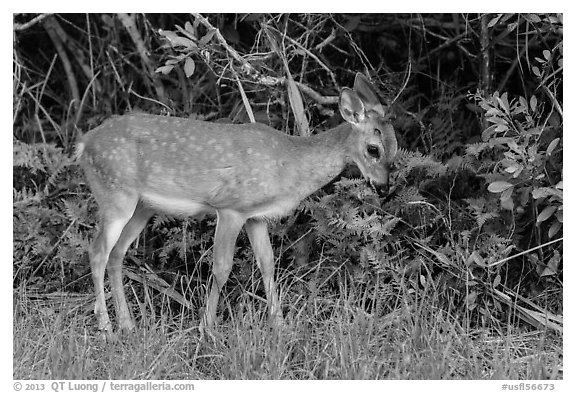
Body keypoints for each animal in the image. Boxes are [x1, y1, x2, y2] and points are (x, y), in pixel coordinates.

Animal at [77, 72, 396, 334]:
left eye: (395, 147)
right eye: (373, 149)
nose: (383, 186)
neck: (289, 163)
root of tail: (84, 143)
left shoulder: (256, 216)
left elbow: (267, 264)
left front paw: (279, 325)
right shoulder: (231, 207)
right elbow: (221, 268)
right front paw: (207, 329)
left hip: (142, 206)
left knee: (117, 254)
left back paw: (127, 325)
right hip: (114, 194)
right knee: (97, 251)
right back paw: (106, 327)